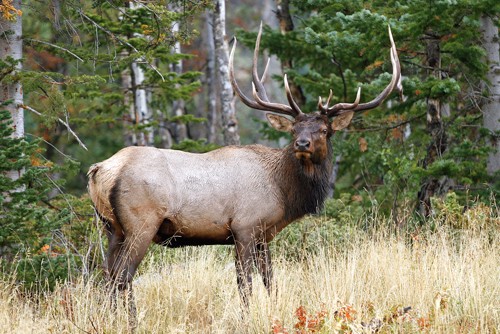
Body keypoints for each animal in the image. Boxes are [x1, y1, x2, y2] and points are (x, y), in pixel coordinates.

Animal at [88, 24, 402, 314]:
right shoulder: (245, 227)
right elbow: (245, 284)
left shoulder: (264, 234)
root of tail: (101, 169)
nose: (301, 143)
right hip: (141, 223)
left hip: (112, 227)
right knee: (123, 277)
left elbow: (270, 281)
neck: (283, 192)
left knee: (106, 277)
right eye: (295, 129)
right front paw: (247, 316)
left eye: (324, 130)